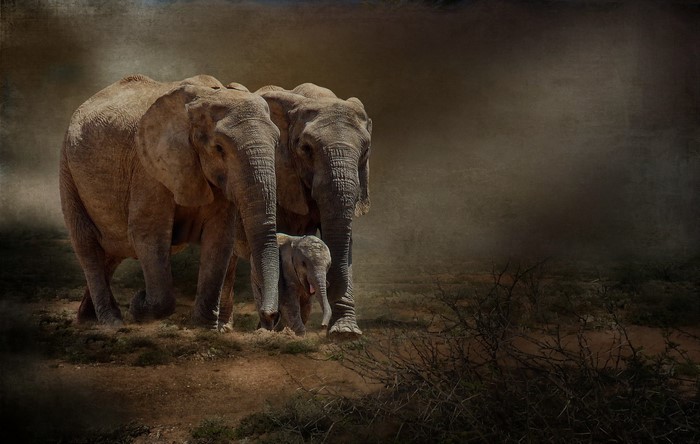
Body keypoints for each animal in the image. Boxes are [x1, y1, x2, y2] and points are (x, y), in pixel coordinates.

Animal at [59, 74, 280, 329]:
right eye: (219, 148)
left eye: (277, 143)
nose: (270, 316)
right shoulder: (148, 169)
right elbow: (148, 232)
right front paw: (138, 304)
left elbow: (220, 237)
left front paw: (204, 329)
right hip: (67, 169)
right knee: (88, 245)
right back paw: (111, 321)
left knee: (113, 251)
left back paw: (87, 319)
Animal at [217, 83, 372, 340]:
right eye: (306, 149)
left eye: (366, 150)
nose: (324, 327)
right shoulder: (280, 176)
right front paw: (279, 330)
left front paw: (346, 333)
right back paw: (223, 329)